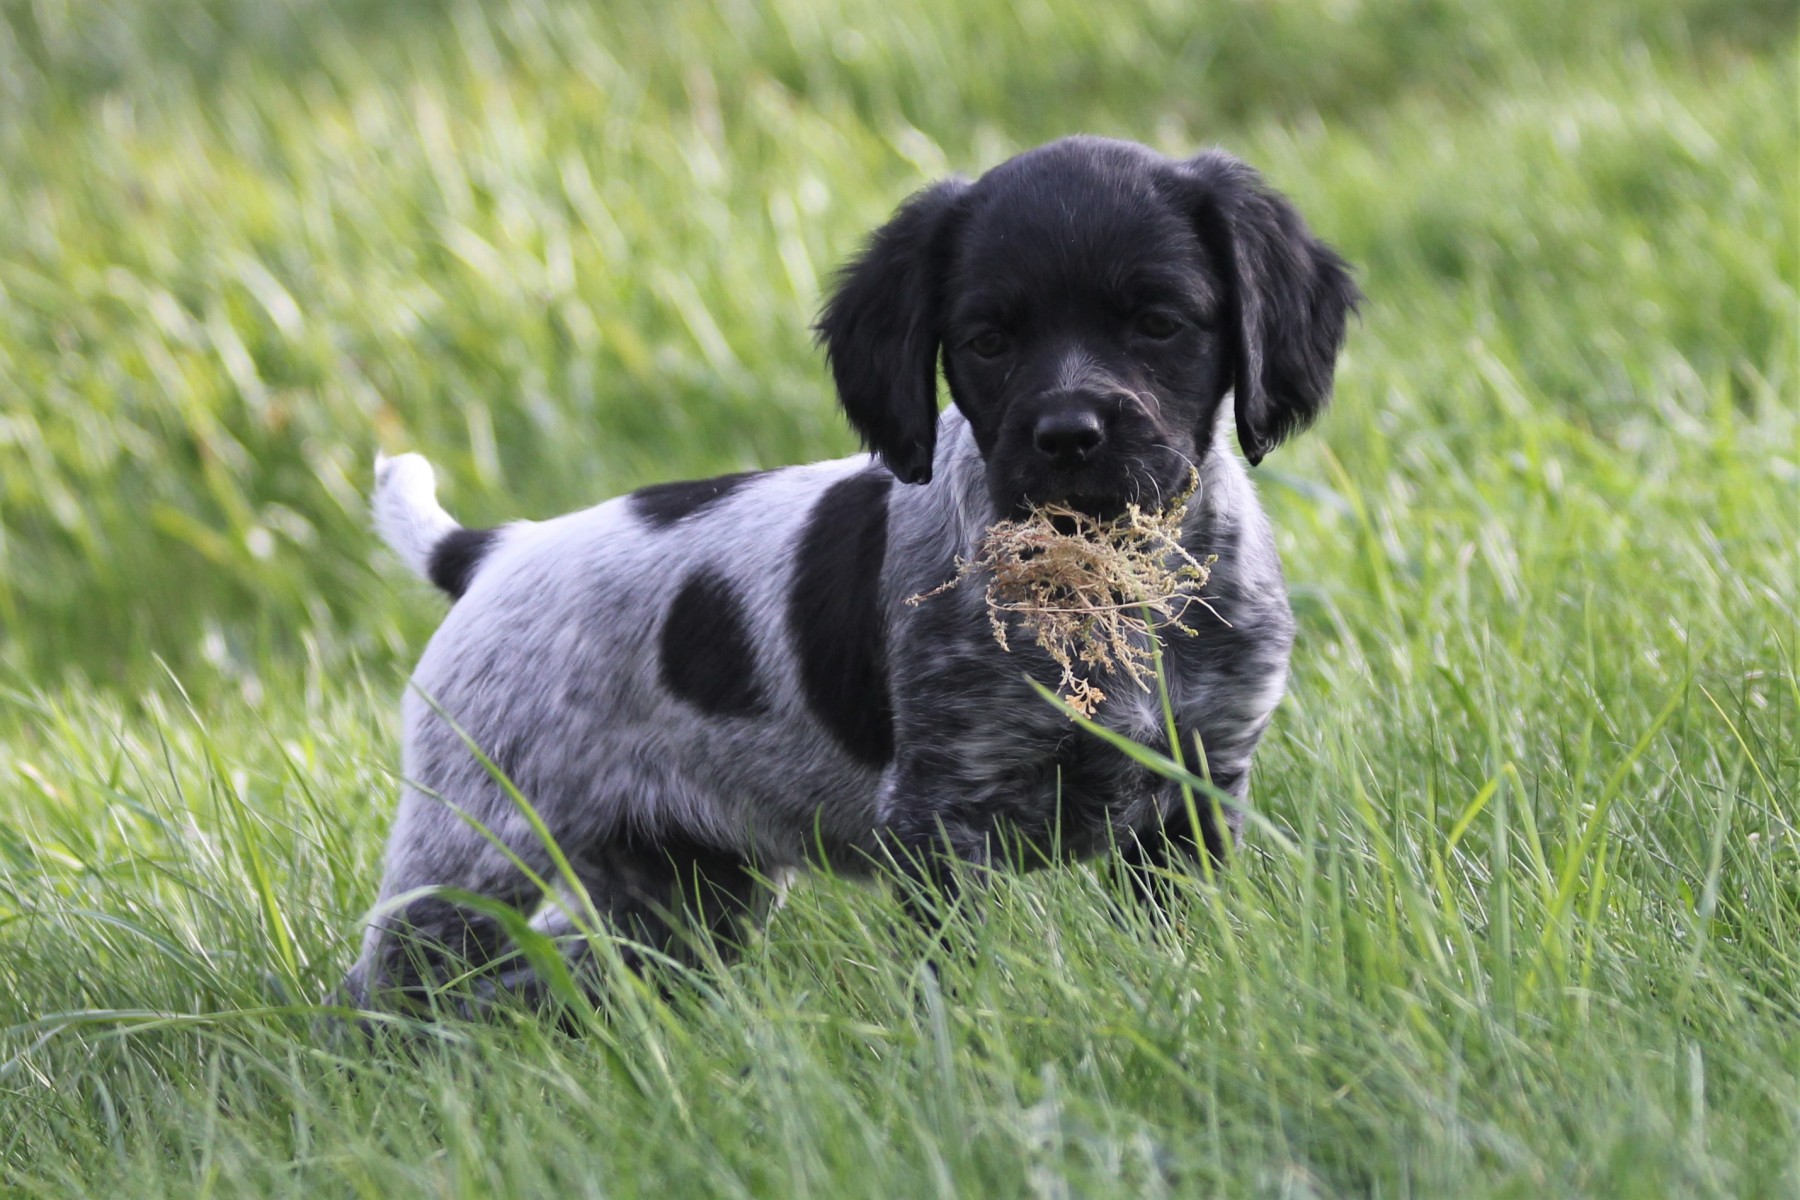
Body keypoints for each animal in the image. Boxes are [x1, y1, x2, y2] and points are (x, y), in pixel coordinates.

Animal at [340, 135, 1353, 1007]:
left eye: (1159, 324)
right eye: (987, 341)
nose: (1068, 437)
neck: (1109, 586)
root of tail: (491, 550)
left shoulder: (1197, 787)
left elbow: (1176, 935)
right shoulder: (941, 814)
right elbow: (954, 973)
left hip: (683, 890)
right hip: (474, 851)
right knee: (383, 992)